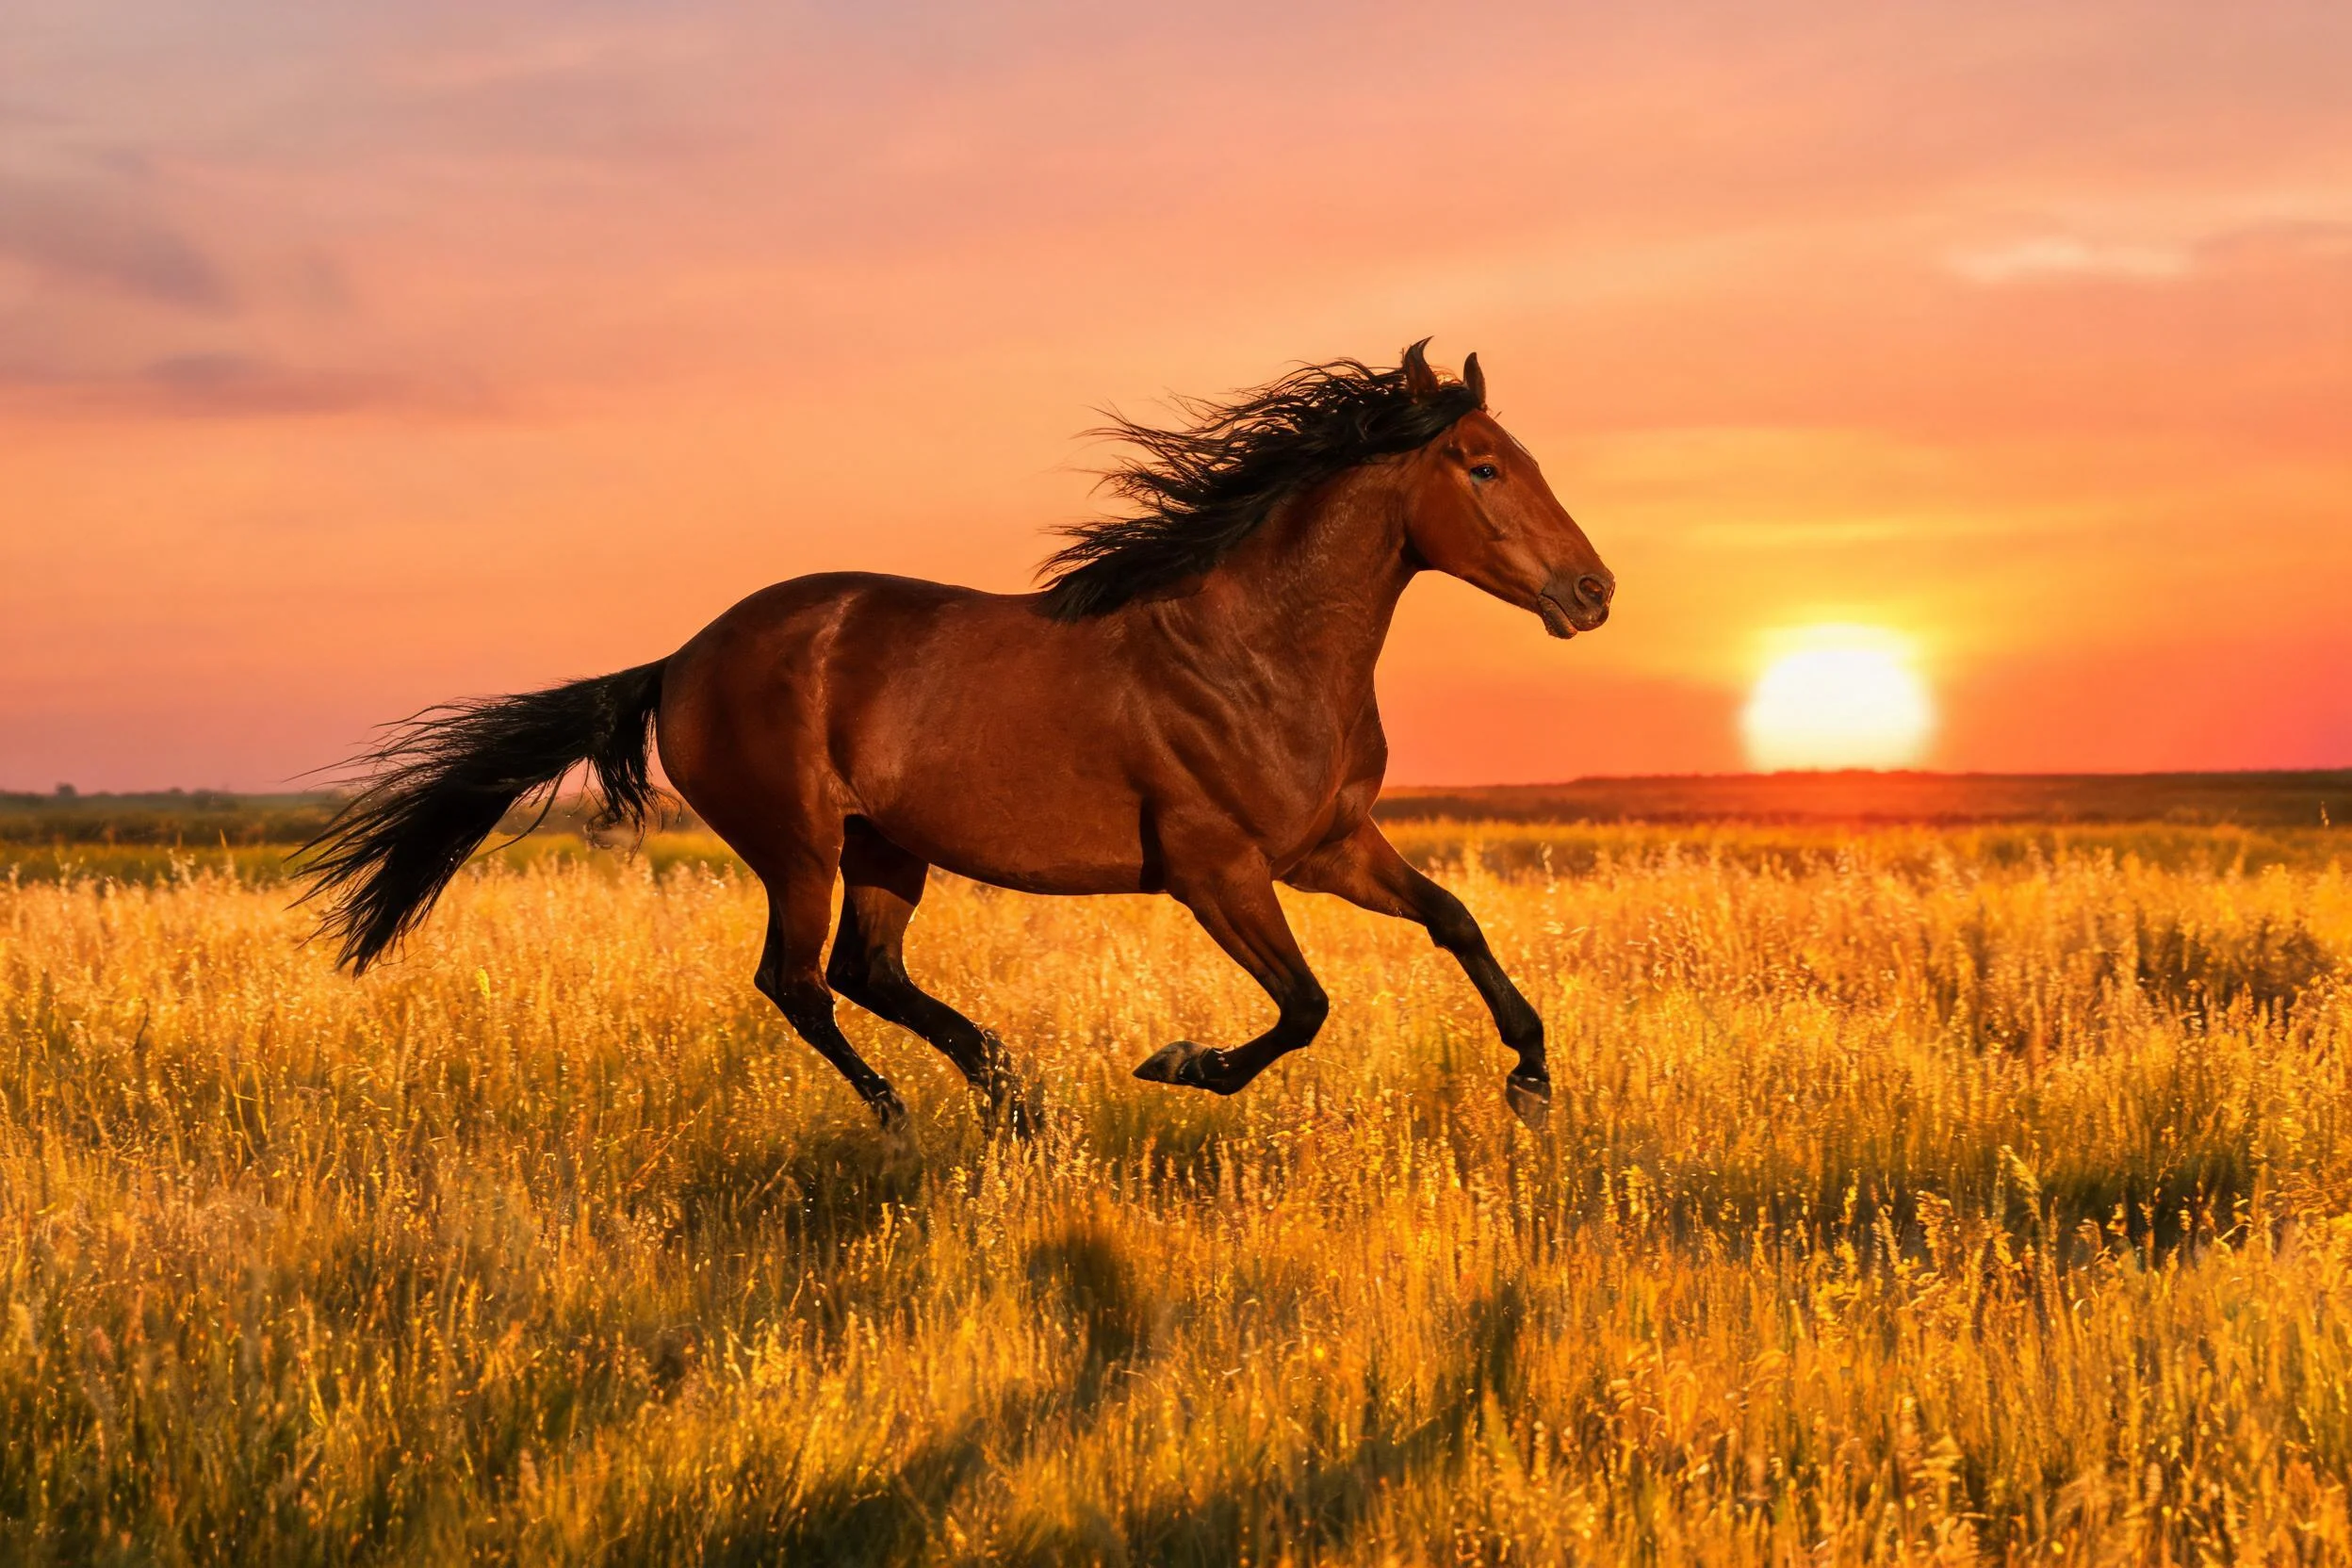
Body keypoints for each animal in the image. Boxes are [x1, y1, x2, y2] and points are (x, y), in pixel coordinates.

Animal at [297, 341, 1614, 1134]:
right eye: (1482, 466)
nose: (1594, 593)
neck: (1254, 648)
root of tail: (680, 658)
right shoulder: (1215, 868)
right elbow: (1303, 1008)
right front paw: (1177, 1062)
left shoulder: (1329, 846)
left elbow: (1455, 920)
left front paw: (1532, 1080)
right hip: (801, 846)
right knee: (797, 981)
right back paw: (909, 1112)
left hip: (890, 846)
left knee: (863, 972)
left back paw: (1012, 1096)